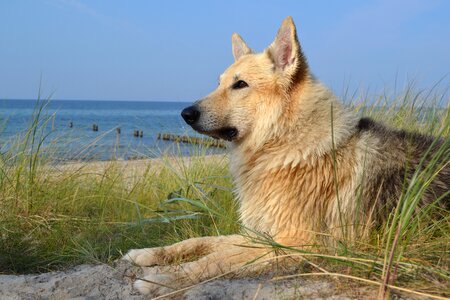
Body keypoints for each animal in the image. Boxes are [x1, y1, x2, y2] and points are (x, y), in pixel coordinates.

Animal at [124, 15, 450, 296]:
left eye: (240, 85)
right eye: (219, 83)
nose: (185, 113)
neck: (284, 143)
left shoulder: (294, 242)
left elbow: (216, 260)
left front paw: (164, 280)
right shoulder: (259, 234)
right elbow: (202, 242)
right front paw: (150, 253)